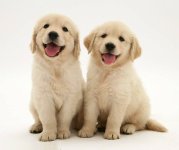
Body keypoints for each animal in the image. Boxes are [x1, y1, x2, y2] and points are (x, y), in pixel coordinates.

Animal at [29, 13, 84, 141]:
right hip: (32, 103)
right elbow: (47, 117)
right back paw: (36, 126)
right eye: (46, 26)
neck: (56, 66)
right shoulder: (43, 96)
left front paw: (62, 132)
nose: (53, 34)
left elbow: (64, 117)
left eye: (65, 29)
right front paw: (48, 133)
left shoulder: (71, 97)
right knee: (37, 118)